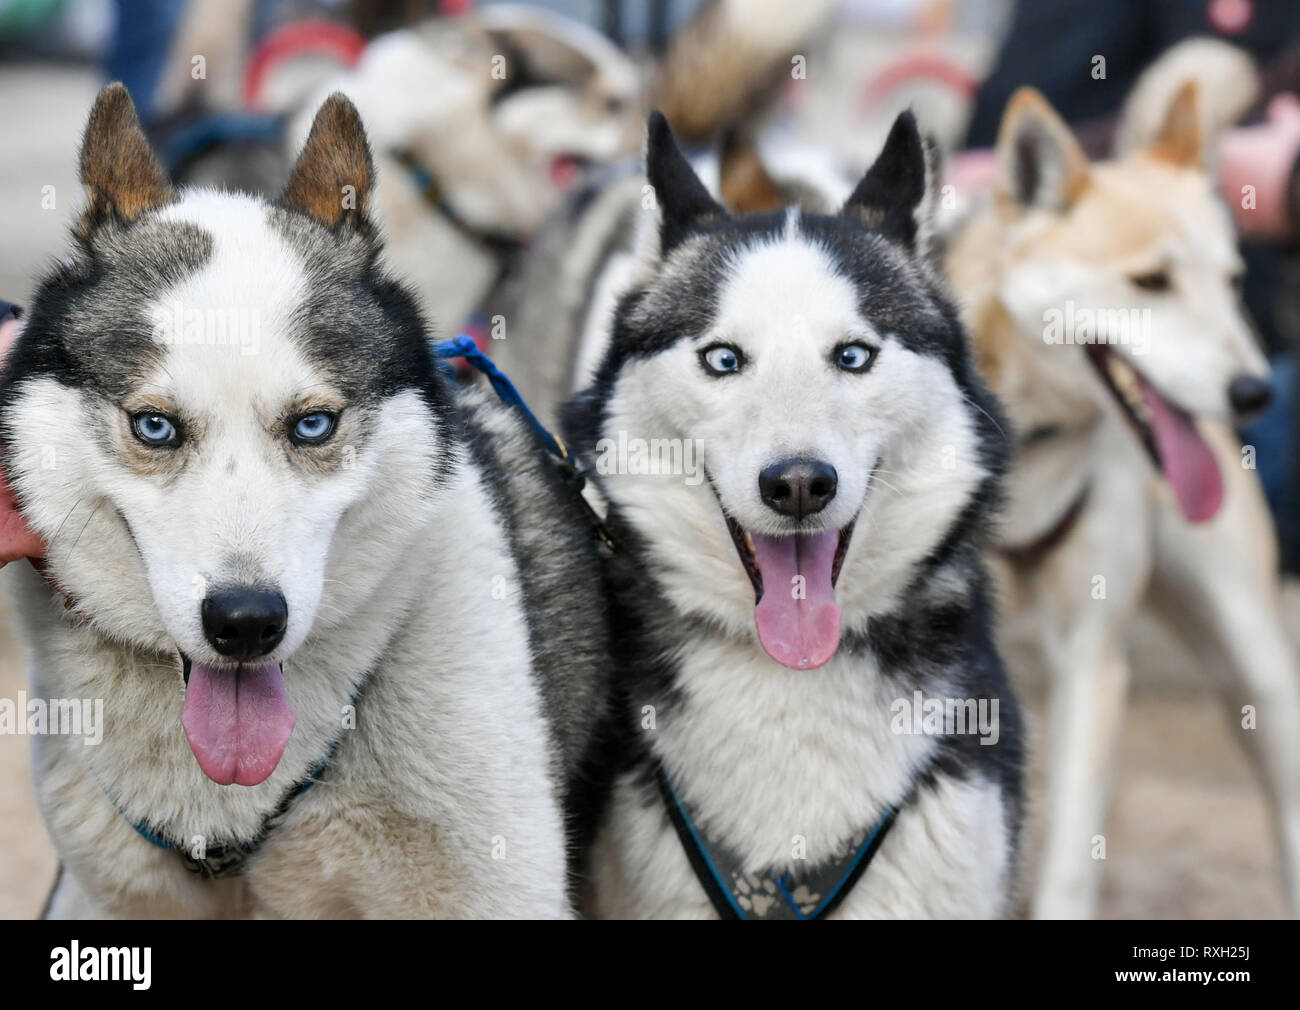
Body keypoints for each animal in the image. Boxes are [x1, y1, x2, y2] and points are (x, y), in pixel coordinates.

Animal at [946, 76, 1300, 915]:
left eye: (1232, 282)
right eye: (1150, 282)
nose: (1255, 392)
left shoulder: (1092, 663)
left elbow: (1071, 865)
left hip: (1255, 667)